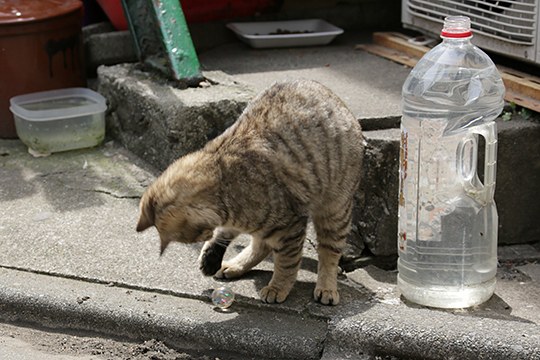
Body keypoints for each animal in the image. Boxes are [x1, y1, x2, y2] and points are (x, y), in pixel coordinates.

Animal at [136, 80, 362, 306]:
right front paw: (211, 255)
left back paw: (326, 287)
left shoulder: (290, 227)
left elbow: (287, 263)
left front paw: (278, 286)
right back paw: (234, 265)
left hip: (335, 210)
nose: (205, 235)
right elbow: (228, 233)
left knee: (329, 252)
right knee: (261, 244)